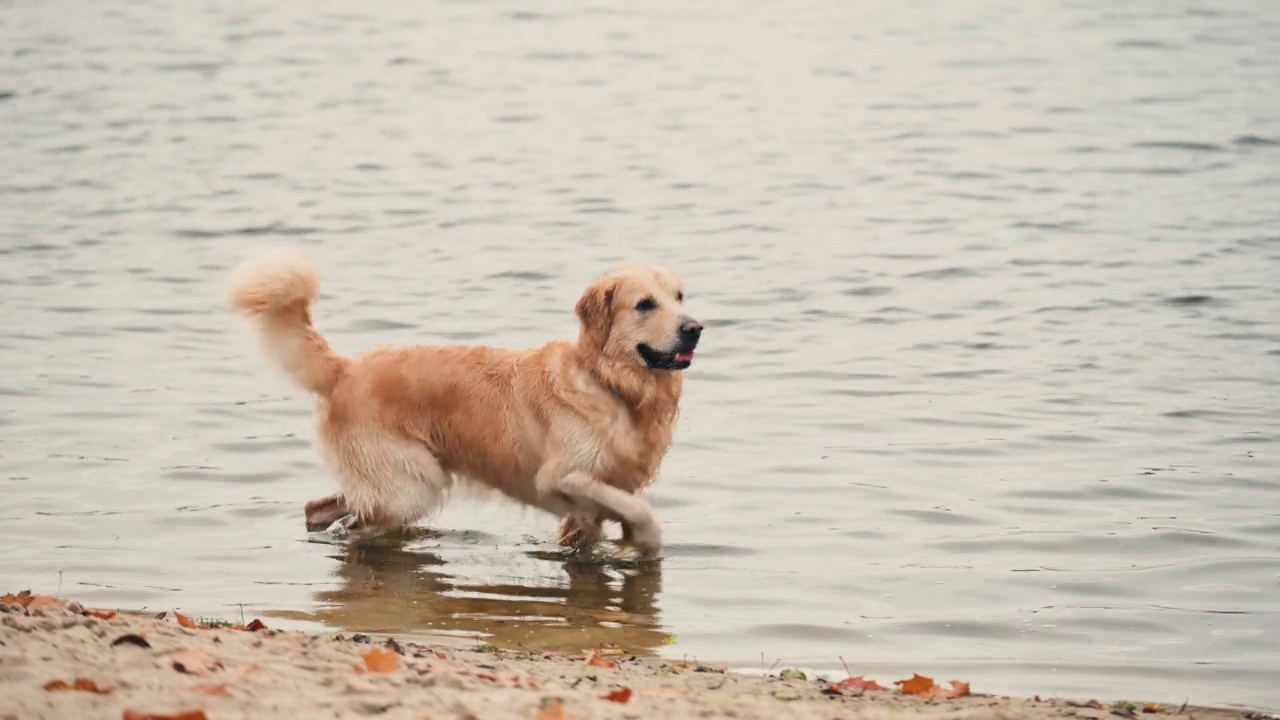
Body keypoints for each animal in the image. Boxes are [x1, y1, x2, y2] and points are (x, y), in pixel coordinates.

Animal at [225, 249, 696, 558]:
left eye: (679, 297)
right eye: (644, 304)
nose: (695, 328)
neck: (611, 385)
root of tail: (346, 369)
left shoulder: (594, 503)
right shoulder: (562, 476)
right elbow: (641, 512)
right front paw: (643, 539)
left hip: (396, 479)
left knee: (323, 507)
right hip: (412, 482)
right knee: (360, 518)